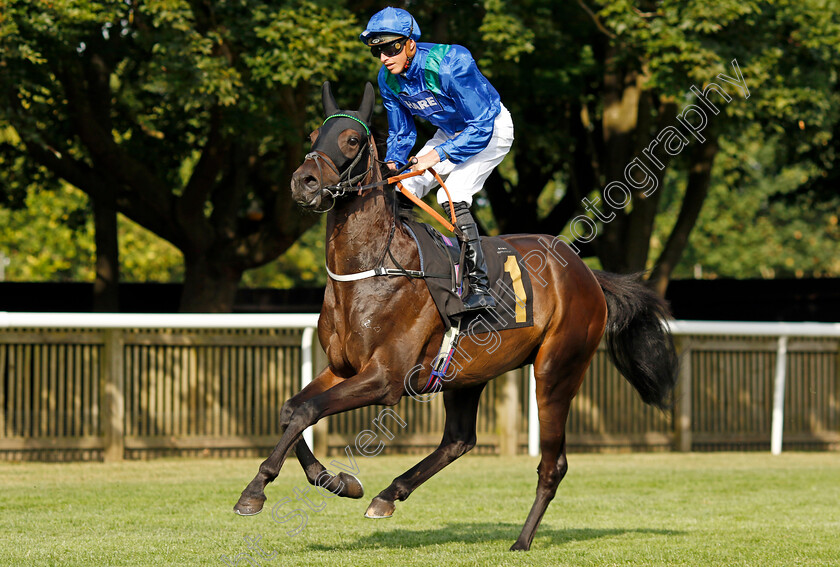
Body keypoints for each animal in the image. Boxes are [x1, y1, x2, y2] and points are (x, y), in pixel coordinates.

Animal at [233, 80, 680, 552]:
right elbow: (291, 409)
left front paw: (256, 490)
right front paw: (333, 479)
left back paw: (521, 541)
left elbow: (308, 411)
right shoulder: (342, 368)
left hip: (557, 370)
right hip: (468, 372)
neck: (372, 269)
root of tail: (586, 273)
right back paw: (387, 495)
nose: (304, 181)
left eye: (352, 140)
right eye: (313, 136)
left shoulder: (385, 379)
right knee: (460, 440)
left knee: (552, 464)